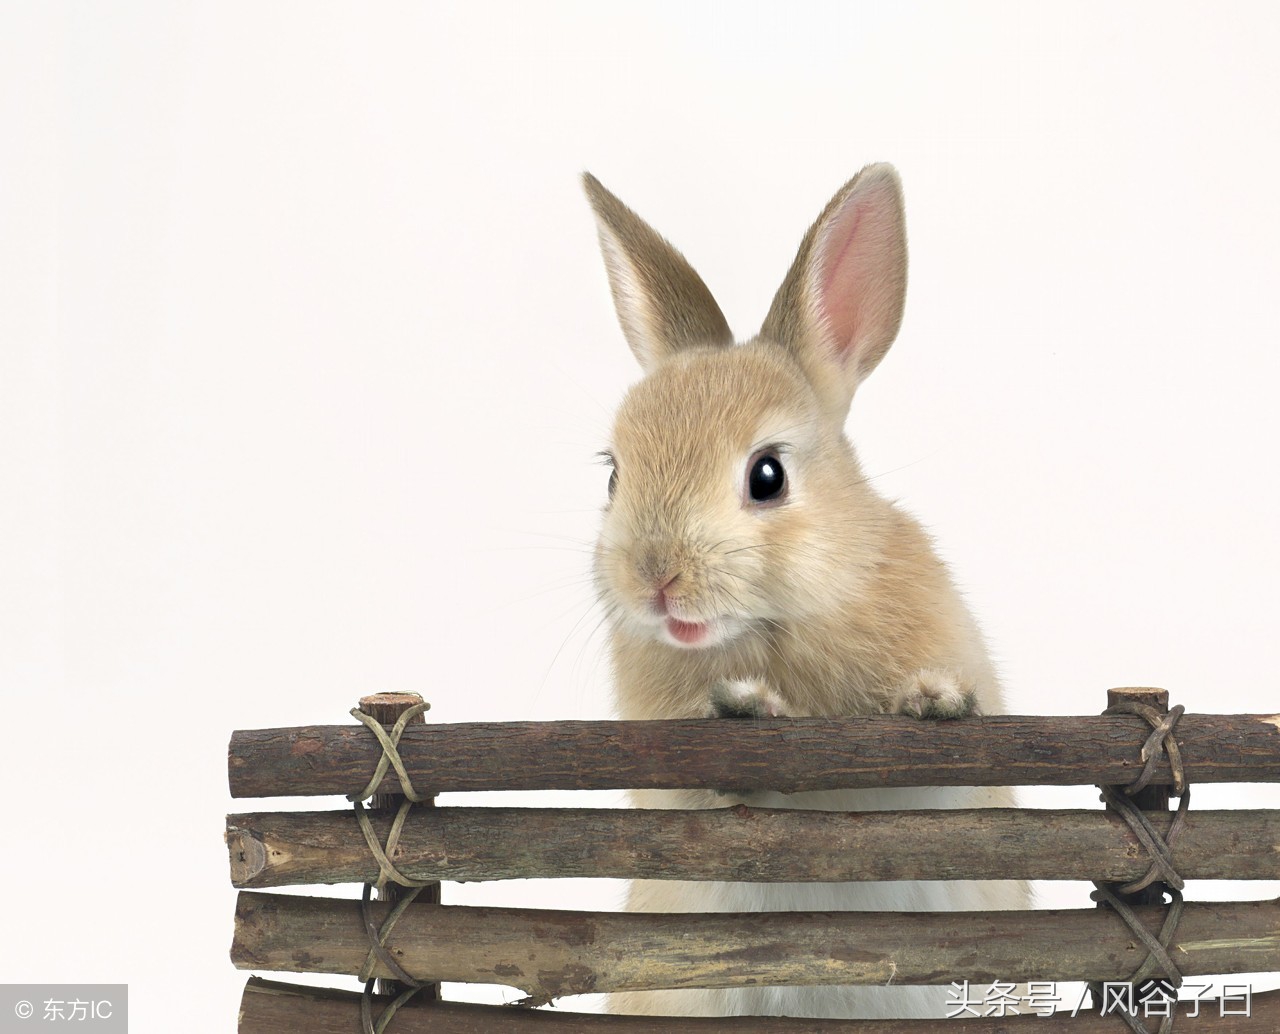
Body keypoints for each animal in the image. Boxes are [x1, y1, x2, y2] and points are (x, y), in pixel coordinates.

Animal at [586, 165, 1034, 1023]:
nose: (656, 577)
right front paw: (746, 707)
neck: (777, 628)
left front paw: (932, 701)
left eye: (768, 475)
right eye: (614, 474)